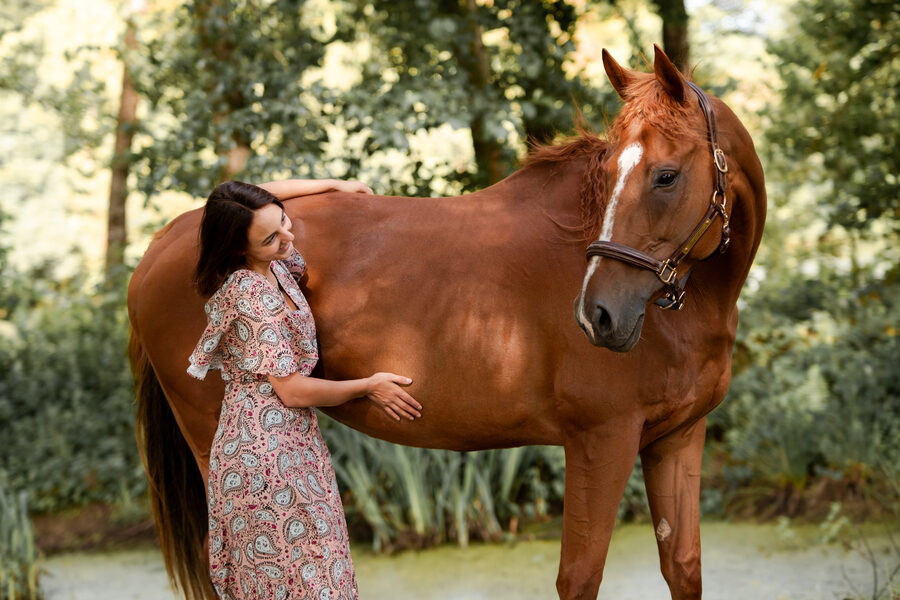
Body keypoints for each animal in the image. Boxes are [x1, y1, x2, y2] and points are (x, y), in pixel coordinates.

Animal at [127, 45, 766, 600]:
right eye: (610, 175)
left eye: (665, 175)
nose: (598, 315)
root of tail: (171, 238)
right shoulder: (601, 439)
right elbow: (579, 578)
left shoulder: (677, 439)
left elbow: (683, 569)